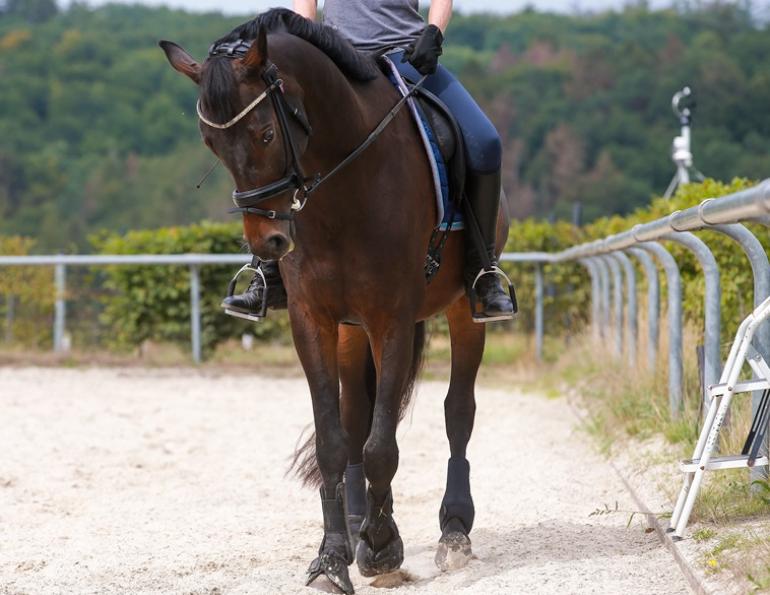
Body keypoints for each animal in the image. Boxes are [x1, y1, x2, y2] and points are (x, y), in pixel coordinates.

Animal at [160, 9, 510, 594]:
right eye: (211, 145)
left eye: (265, 132)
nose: (269, 243)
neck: (345, 184)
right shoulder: (314, 321)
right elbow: (336, 438)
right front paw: (334, 555)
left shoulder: (391, 319)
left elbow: (382, 444)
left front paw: (384, 548)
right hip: (350, 330)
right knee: (357, 415)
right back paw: (357, 520)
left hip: (464, 310)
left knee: (457, 411)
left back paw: (453, 531)